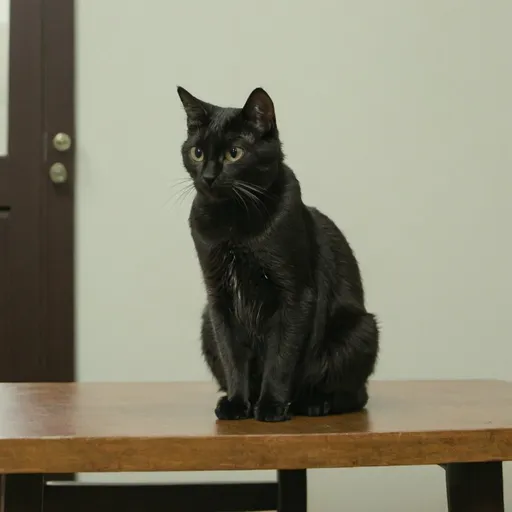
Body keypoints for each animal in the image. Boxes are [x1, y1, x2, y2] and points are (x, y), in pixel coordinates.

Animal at [178, 86, 378, 422]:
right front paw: (237, 403)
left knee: (355, 394)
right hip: (206, 323)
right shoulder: (219, 300)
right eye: (198, 153)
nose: (208, 176)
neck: (234, 225)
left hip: (359, 330)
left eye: (235, 153)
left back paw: (313, 403)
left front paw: (271, 405)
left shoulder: (295, 295)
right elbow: (232, 356)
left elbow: (281, 356)